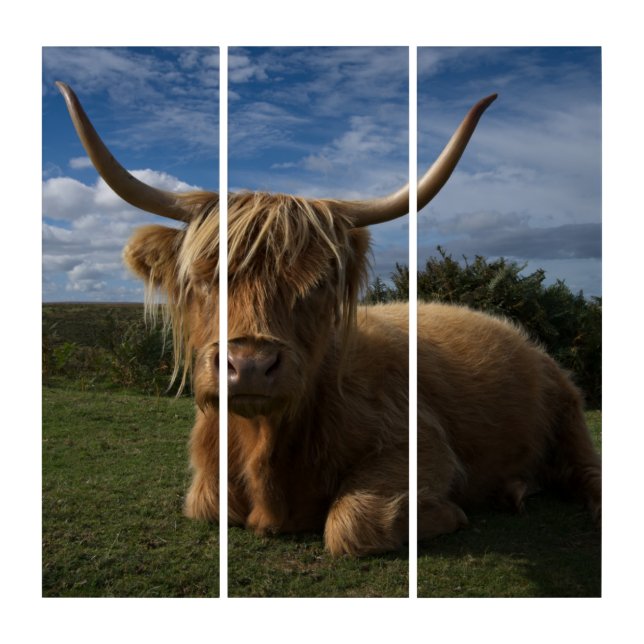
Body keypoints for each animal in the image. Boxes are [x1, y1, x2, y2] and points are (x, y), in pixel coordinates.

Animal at [56, 82, 601, 557]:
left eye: (318, 284)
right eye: (203, 277)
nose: (249, 366)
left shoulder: (421, 445)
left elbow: (353, 522)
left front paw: (446, 513)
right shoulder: (206, 485)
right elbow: (207, 504)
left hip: (569, 409)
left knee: (587, 471)